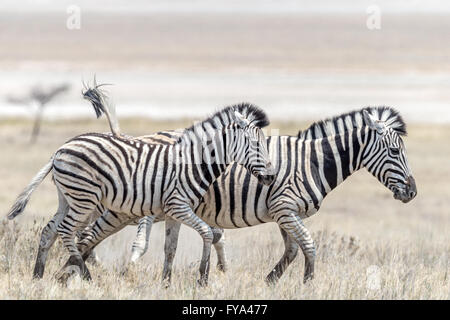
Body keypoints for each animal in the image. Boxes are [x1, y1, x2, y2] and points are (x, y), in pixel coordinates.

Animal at [7, 85, 276, 284]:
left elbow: (172, 247)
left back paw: (38, 275)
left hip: (68, 198)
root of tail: (60, 150)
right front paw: (203, 277)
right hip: (85, 199)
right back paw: (85, 274)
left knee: (50, 230)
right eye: (256, 145)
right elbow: (208, 232)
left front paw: (168, 282)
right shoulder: (178, 205)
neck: (193, 162)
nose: (271, 177)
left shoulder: (173, 212)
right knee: (67, 231)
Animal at [125, 106, 416, 284]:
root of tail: (150, 136)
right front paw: (307, 284)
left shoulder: (285, 214)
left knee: (170, 245)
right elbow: (308, 246)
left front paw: (270, 281)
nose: (412, 192)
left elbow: (291, 250)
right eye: (394, 151)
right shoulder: (284, 209)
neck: (313, 162)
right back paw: (129, 269)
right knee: (143, 236)